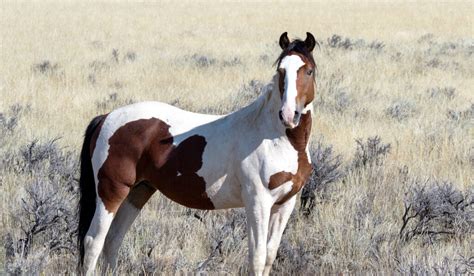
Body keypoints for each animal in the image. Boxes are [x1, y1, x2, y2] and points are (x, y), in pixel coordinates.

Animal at [78, 31, 318, 274]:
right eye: (281, 71)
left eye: (309, 70)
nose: (288, 115)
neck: (274, 137)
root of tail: (106, 117)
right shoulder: (258, 202)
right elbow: (257, 257)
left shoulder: (285, 204)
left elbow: (269, 256)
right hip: (111, 192)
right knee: (93, 242)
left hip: (138, 192)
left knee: (113, 240)